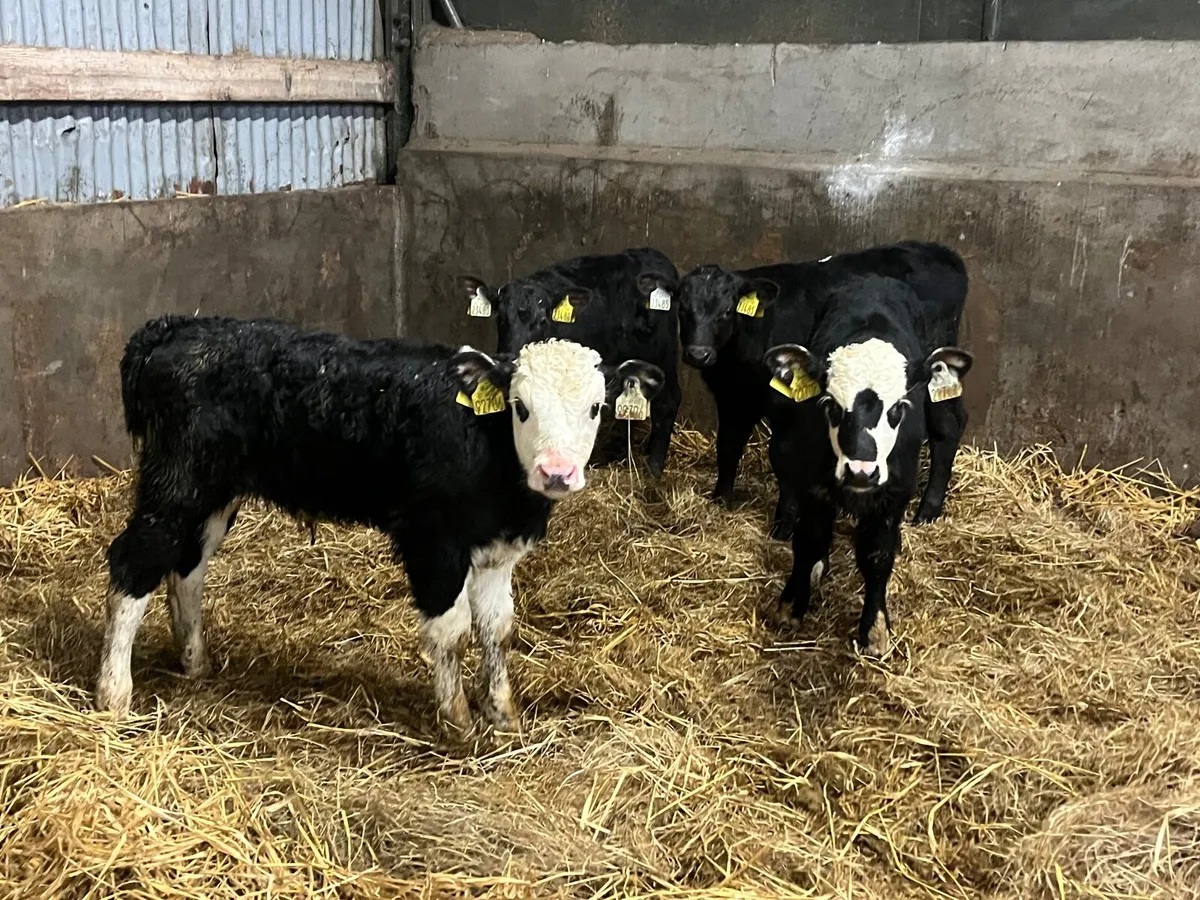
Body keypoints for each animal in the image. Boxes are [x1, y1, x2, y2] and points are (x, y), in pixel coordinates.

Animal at [94, 315, 665, 734]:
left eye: (596, 407)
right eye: (520, 407)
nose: (557, 473)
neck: (486, 442)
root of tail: (176, 328)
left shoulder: (497, 549)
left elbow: (497, 628)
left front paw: (503, 712)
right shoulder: (433, 542)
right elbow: (452, 631)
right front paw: (457, 721)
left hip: (213, 495)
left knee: (187, 568)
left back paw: (195, 661)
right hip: (177, 483)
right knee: (135, 561)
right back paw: (114, 693)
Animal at [457, 247, 682, 479]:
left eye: (542, 321)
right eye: (500, 318)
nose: (509, 356)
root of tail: (656, 256)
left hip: (663, 353)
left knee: (668, 402)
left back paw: (653, 470)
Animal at [676, 241, 969, 539]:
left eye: (726, 311)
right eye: (683, 309)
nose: (698, 354)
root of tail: (936, 250)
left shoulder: (788, 407)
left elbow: (783, 458)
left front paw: (783, 526)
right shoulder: (733, 399)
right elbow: (727, 448)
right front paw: (720, 501)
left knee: (947, 426)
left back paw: (928, 511)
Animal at [763, 272, 973, 656]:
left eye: (898, 408)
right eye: (830, 404)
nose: (862, 471)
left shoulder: (893, 495)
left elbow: (877, 555)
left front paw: (874, 629)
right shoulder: (814, 485)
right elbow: (808, 541)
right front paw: (792, 603)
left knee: (948, 429)